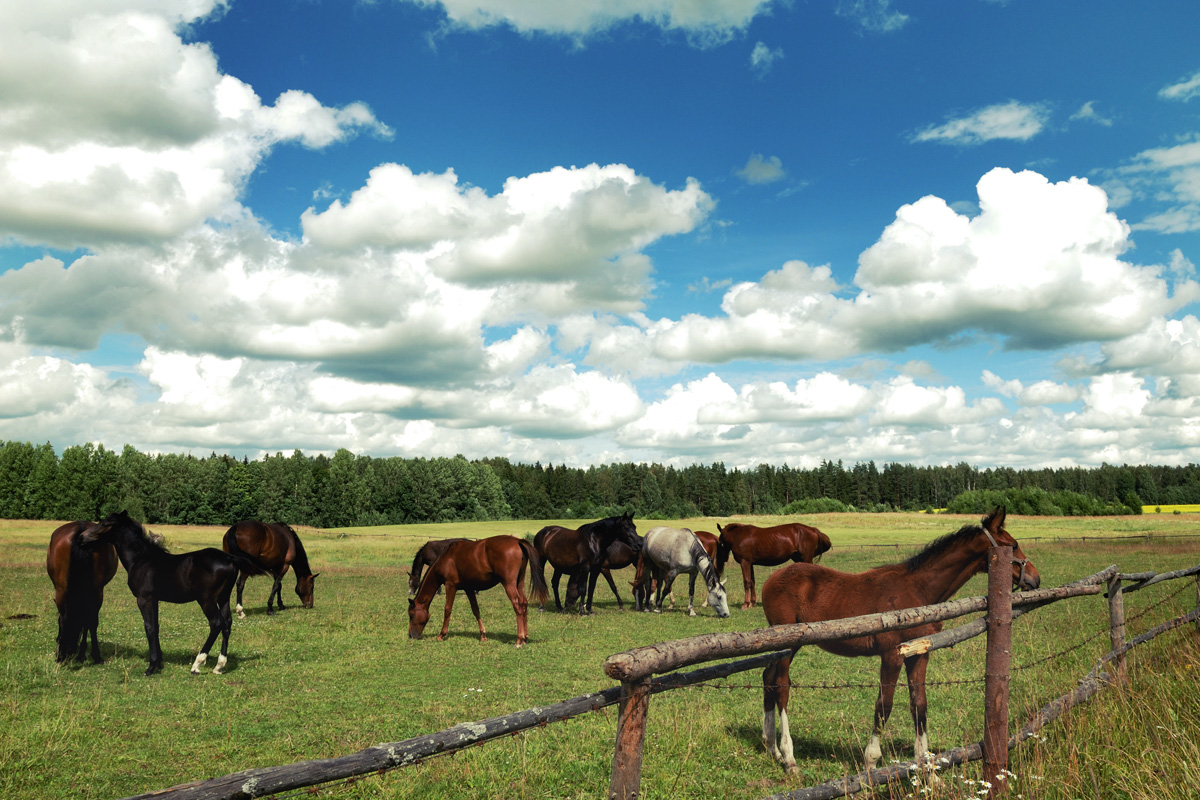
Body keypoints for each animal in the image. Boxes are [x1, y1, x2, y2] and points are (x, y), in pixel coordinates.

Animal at [81, 513, 265, 676]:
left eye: (106, 523)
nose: (83, 537)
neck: (141, 559)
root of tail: (229, 558)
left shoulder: (144, 599)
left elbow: (149, 627)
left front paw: (151, 667)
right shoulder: (154, 599)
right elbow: (156, 626)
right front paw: (159, 663)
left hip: (207, 600)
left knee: (216, 623)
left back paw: (197, 664)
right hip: (223, 598)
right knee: (227, 624)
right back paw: (219, 666)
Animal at [408, 534, 549, 647]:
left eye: (411, 615)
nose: (410, 636)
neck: (446, 558)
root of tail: (517, 541)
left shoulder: (450, 585)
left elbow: (447, 609)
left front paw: (441, 635)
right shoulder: (469, 588)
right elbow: (475, 610)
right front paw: (483, 635)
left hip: (509, 583)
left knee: (517, 605)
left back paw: (519, 640)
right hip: (519, 582)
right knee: (524, 603)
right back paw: (525, 637)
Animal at [763, 506, 1036, 777]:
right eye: (1013, 545)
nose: (1035, 579)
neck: (918, 590)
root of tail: (770, 579)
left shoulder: (919, 653)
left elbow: (919, 705)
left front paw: (927, 770)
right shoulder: (892, 653)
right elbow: (884, 705)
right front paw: (871, 761)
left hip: (785, 645)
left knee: (768, 676)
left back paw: (772, 749)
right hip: (787, 643)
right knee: (782, 685)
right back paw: (789, 757)